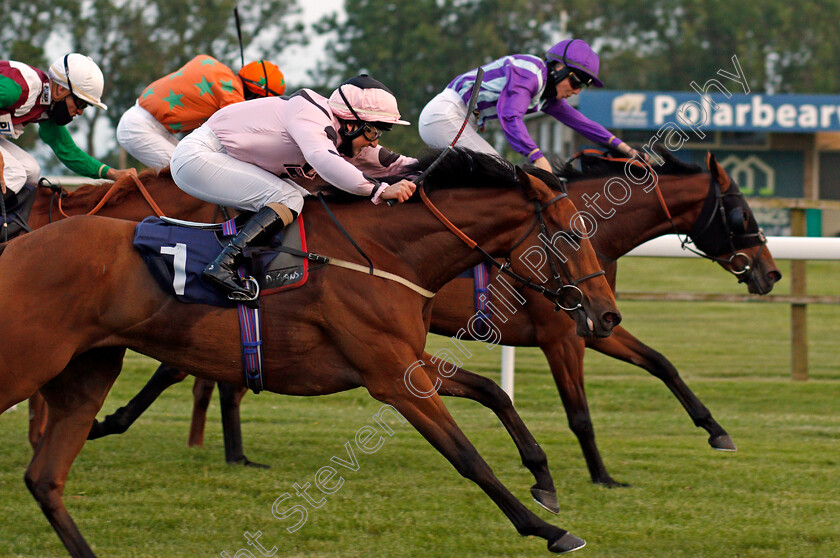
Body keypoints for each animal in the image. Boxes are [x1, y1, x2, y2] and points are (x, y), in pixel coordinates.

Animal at [0, 151, 616, 556]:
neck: (383, 253)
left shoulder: (404, 361)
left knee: (45, 480)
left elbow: (493, 392)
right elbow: (468, 456)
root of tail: (17, 247)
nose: (607, 316)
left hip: (87, 370)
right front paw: (548, 530)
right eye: (569, 234)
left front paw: (544, 480)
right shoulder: (390, 374)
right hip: (27, 363)